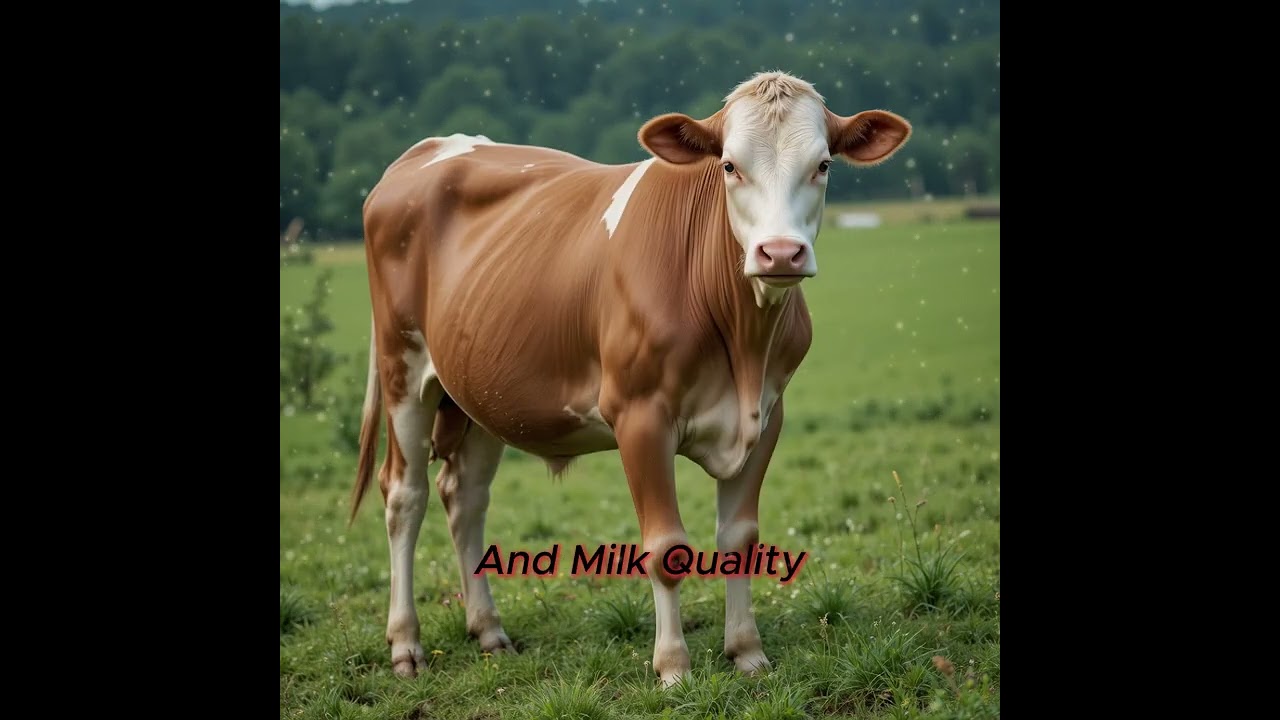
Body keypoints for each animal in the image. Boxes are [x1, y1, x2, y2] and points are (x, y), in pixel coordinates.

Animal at [350, 71, 910, 686]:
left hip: (476, 391)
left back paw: (489, 631)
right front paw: (673, 668)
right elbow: (666, 549)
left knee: (465, 496)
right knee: (405, 496)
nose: (781, 253)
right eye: (729, 166)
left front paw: (747, 653)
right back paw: (406, 645)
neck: (742, 342)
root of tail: (425, 151)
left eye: (824, 164)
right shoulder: (639, 416)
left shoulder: (767, 415)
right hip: (402, 368)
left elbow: (739, 539)